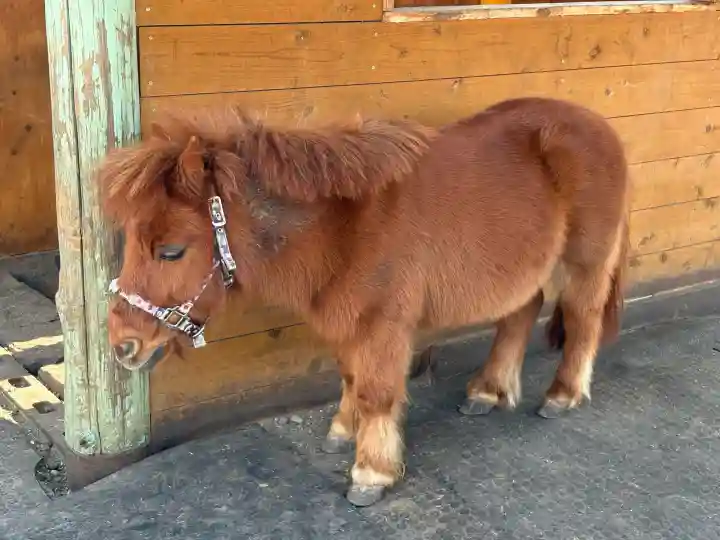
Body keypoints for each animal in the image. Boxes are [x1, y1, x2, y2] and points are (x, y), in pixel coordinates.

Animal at [99, 97, 630, 507]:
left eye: (171, 251)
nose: (123, 345)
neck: (345, 226)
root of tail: (599, 124)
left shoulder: (383, 324)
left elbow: (376, 392)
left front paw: (371, 473)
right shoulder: (350, 321)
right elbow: (351, 377)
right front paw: (342, 431)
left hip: (585, 261)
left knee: (583, 318)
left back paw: (562, 395)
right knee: (522, 311)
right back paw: (487, 391)